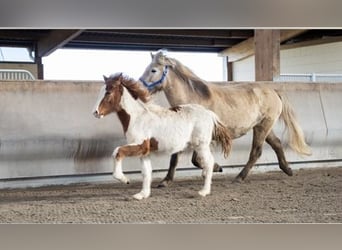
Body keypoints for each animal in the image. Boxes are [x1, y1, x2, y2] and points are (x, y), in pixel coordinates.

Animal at [92, 72, 231, 199]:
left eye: (108, 92)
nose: (95, 112)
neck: (137, 117)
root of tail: (209, 113)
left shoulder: (141, 145)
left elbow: (117, 151)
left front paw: (124, 179)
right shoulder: (145, 151)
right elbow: (146, 172)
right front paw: (142, 194)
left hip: (201, 145)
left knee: (208, 162)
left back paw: (204, 191)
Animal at [140, 51, 312, 188]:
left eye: (153, 70)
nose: (140, 88)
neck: (194, 99)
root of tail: (273, 91)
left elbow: (196, 159)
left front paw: (216, 168)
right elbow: (178, 158)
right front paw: (165, 181)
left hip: (263, 126)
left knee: (256, 152)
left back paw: (239, 177)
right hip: (262, 127)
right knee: (276, 143)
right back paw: (287, 169)